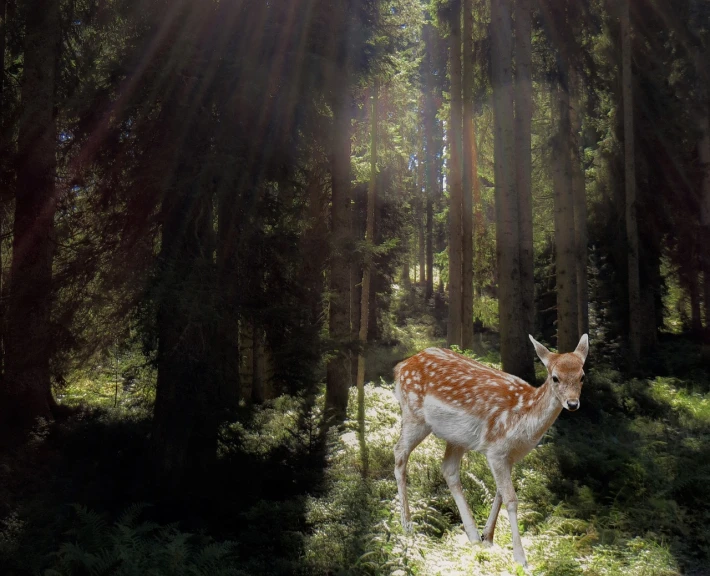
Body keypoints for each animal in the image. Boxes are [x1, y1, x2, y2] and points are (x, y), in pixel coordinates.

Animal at [394, 332, 588, 568]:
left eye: (582, 376)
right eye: (555, 377)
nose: (572, 403)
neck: (524, 421)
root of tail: (401, 367)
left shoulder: (510, 456)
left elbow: (499, 493)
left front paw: (488, 538)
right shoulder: (496, 450)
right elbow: (511, 499)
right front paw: (521, 558)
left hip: (456, 438)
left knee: (448, 469)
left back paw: (472, 536)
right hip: (414, 416)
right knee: (399, 454)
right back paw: (407, 526)